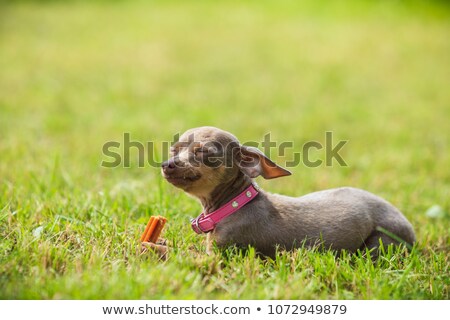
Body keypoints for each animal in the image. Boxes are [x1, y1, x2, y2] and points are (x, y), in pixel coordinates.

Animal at [144, 126, 414, 258]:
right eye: (174, 150)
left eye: (203, 153)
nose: (167, 164)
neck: (233, 205)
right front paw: (161, 241)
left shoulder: (219, 257)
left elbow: (183, 255)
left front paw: (153, 248)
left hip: (381, 242)